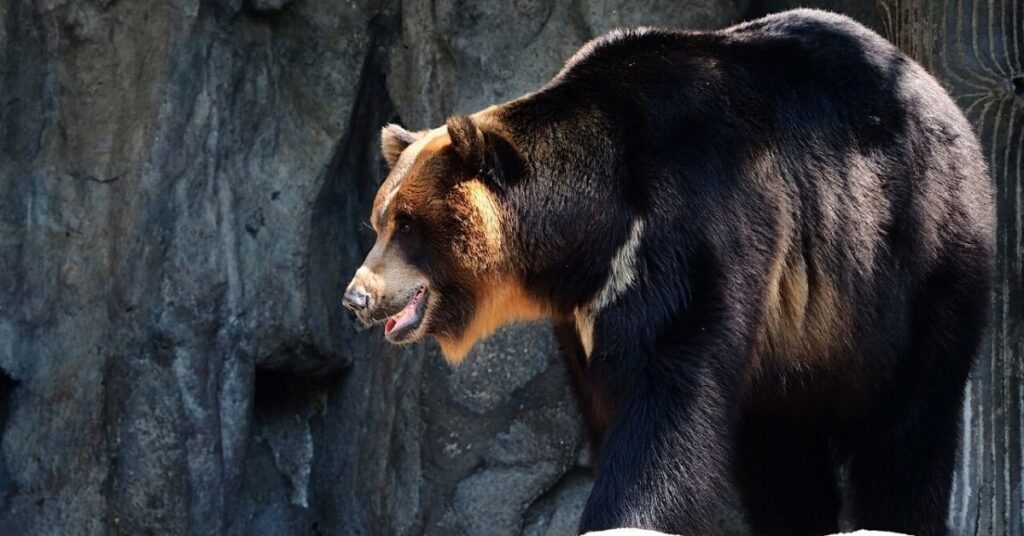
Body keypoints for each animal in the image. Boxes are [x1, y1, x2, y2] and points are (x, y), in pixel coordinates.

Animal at [342, 9, 993, 536]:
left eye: (407, 225)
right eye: (379, 219)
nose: (356, 296)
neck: (591, 231)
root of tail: (943, 98)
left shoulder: (692, 227)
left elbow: (665, 398)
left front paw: (623, 515)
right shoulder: (587, 309)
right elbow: (610, 400)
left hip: (917, 260)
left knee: (909, 424)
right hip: (800, 341)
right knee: (782, 449)